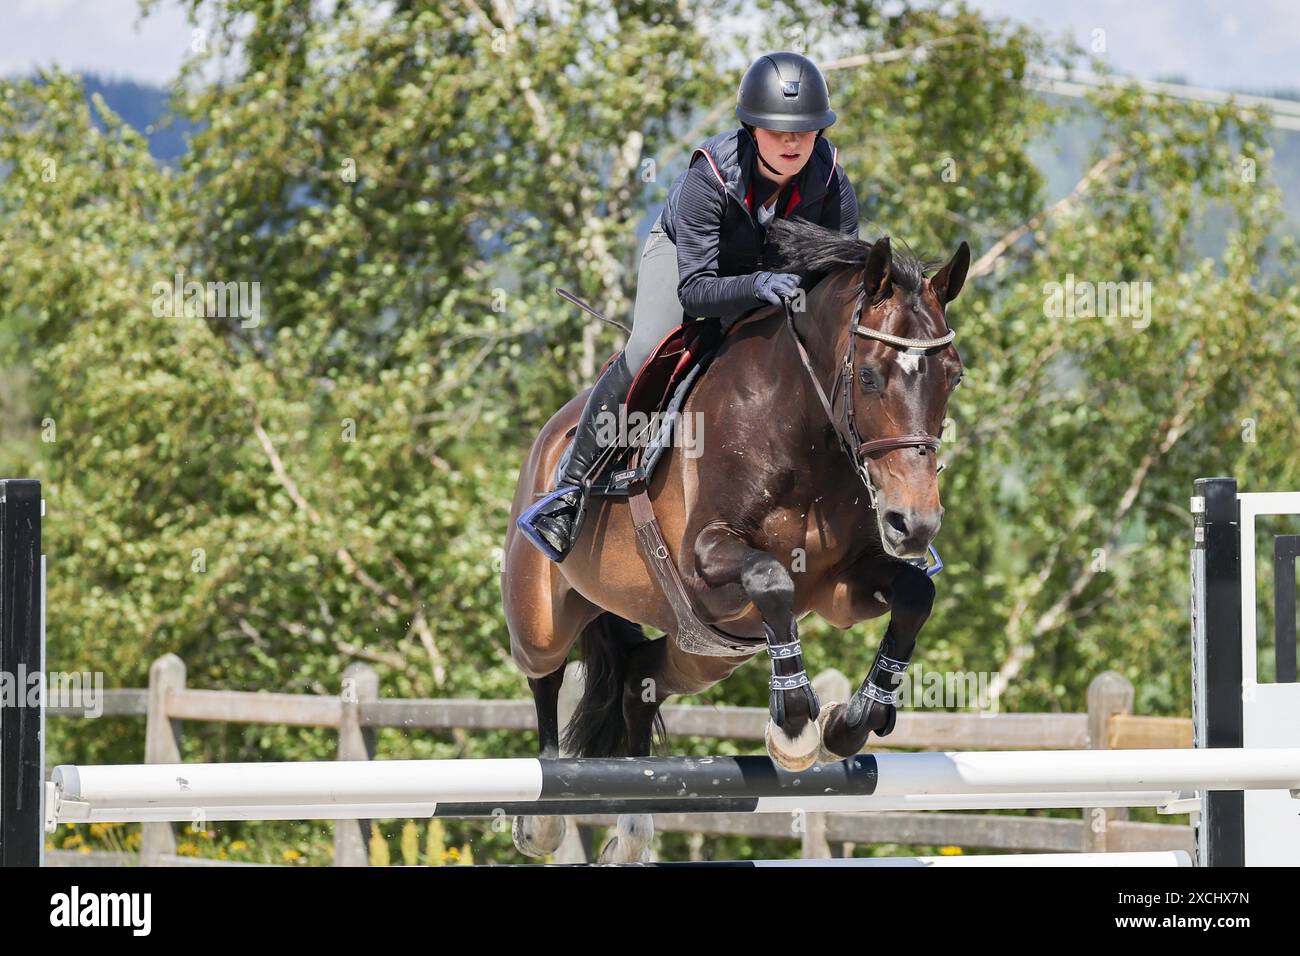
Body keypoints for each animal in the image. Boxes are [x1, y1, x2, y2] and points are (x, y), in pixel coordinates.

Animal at [501, 221, 972, 863]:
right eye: (870, 374)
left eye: (953, 375)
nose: (914, 523)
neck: (803, 430)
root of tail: (549, 438)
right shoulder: (704, 562)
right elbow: (769, 578)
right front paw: (794, 726)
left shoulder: (839, 586)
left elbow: (915, 595)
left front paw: (849, 722)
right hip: (544, 618)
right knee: (545, 675)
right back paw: (544, 815)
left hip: (706, 652)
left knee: (638, 679)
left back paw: (632, 830)